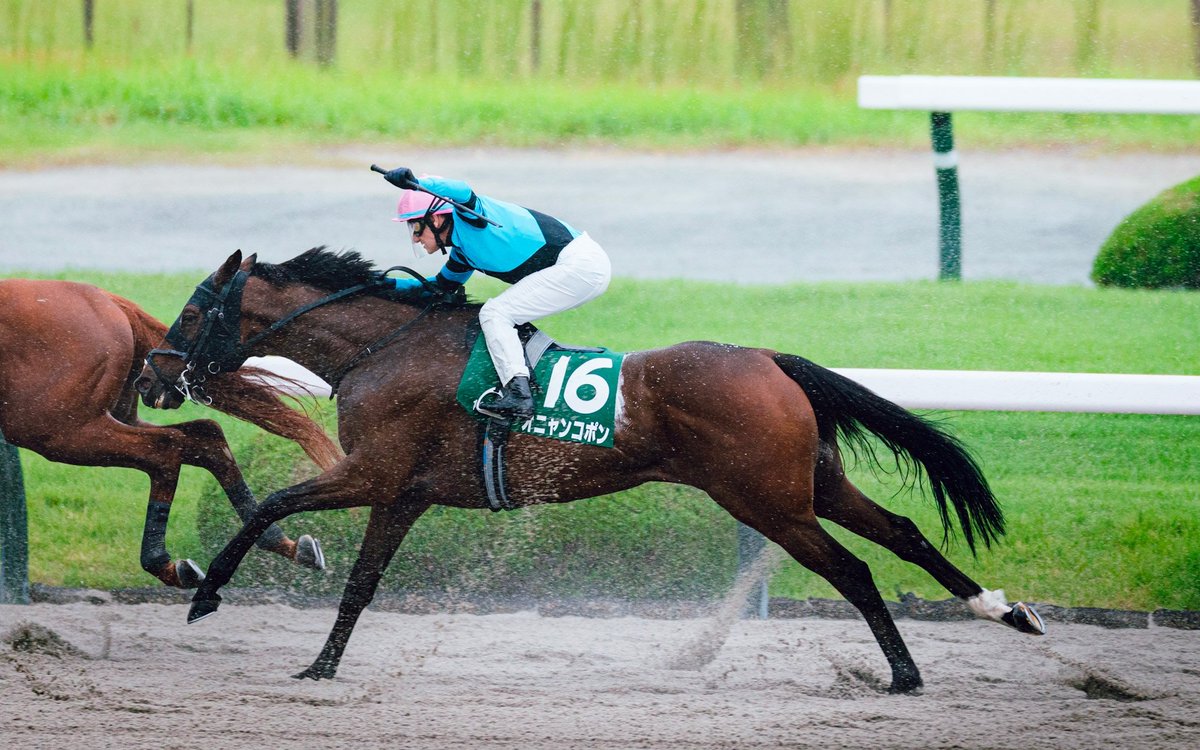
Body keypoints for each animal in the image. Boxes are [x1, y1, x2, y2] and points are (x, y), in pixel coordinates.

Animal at [0, 278, 342, 588]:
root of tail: (108, 300)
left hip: (60, 430)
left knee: (165, 448)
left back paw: (163, 563)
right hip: (109, 418)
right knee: (206, 437)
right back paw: (281, 542)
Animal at [135, 247, 1045, 693]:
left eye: (191, 310)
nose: (152, 375)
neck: (383, 348)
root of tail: (767, 359)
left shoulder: (373, 472)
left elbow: (272, 505)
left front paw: (208, 592)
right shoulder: (405, 494)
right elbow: (362, 583)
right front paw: (321, 667)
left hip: (768, 501)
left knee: (854, 569)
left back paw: (904, 673)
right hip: (812, 482)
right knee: (903, 531)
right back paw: (1008, 612)